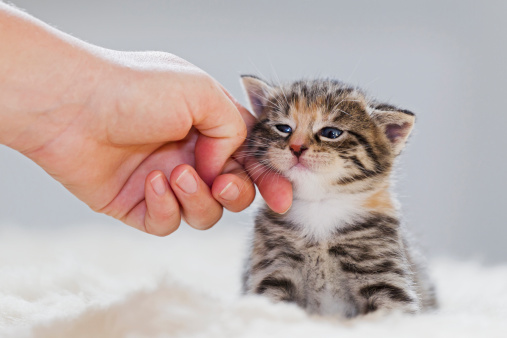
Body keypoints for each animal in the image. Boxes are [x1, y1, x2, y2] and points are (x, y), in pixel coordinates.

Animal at [241, 76, 436, 316]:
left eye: (331, 133)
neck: (319, 206)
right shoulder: (273, 268)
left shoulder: (384, 276)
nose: (296, 147)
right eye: (283, 128)